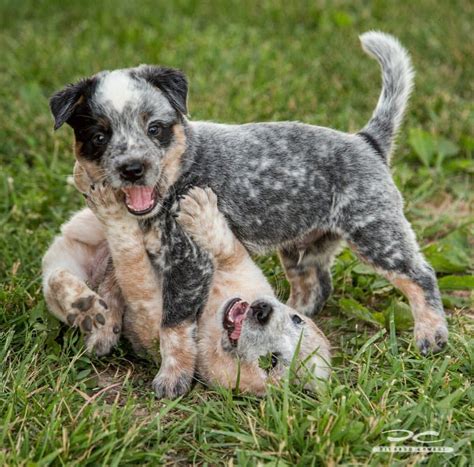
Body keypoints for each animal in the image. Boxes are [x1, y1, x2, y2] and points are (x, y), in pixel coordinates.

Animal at [43, 170, 330, 394]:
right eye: (297, 318)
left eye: (271, 362)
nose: (262, 311)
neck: (211, 316)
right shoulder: (243, 267)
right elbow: (226, 246)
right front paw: (200, 208)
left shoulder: (150, 312)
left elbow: (134, 267)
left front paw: (114, 212)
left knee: (55, 279)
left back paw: (87, 308)